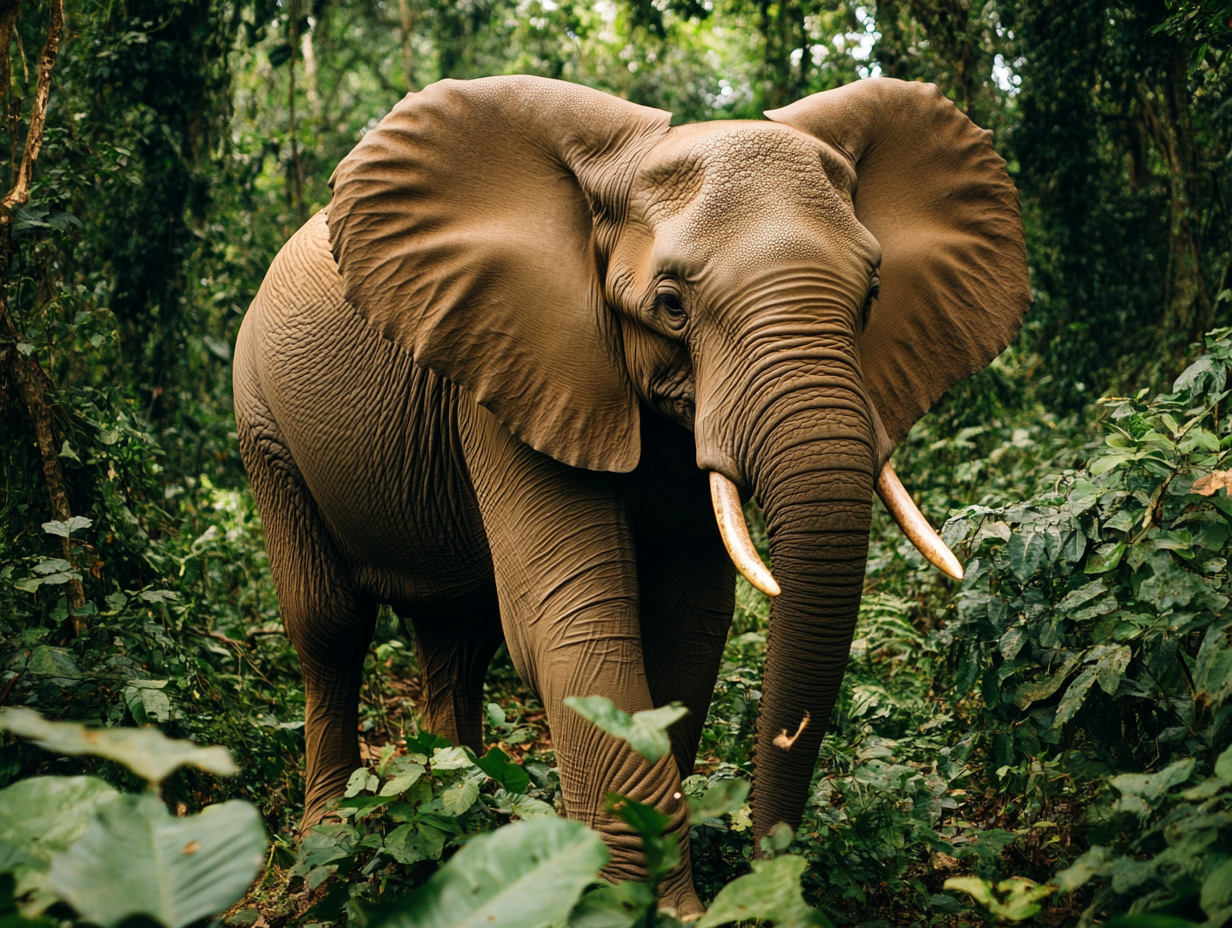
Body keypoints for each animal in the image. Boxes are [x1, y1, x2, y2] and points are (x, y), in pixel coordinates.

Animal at [233, 74, 1029, 914]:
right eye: (671, 305)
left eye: (873, 293)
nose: (769, 868)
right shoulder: (517, 366)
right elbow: (572, 622)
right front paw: (637, 907)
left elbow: (688, 622)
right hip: (262, 421)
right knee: (330, 627)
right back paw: (324, 858)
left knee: (459, 636)